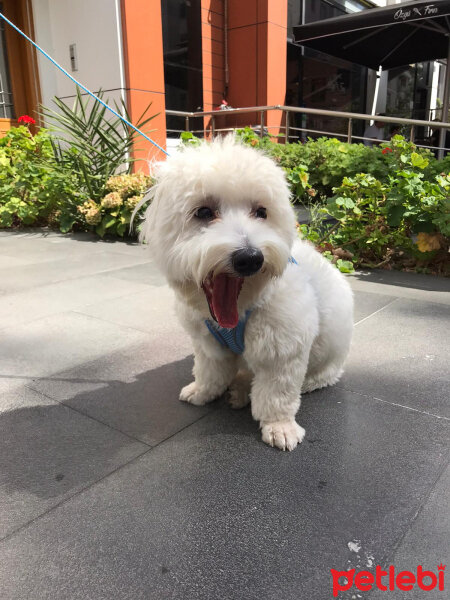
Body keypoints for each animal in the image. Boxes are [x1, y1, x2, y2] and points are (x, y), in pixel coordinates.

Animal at [139, 137, 354, 450]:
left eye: (261, 212)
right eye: (204, 212)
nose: (250, 258)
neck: (241, 308)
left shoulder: (282, 348)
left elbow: (277, 395)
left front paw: (280, 427)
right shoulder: (207, 343)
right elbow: (209, 371)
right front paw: (202, 391)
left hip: (329, 351)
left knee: (317, 377)